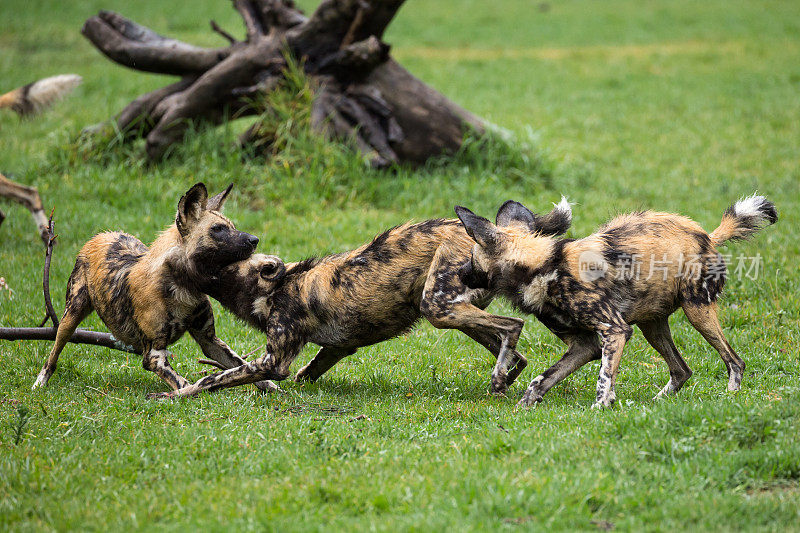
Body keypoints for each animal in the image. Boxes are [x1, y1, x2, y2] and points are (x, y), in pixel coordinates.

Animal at [32, 183, 278, 394]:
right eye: (217, 229)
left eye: (233, 227)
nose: (255, 240)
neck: (184, 288)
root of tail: (101, 235)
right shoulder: (154, 355)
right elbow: (185, 384)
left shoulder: (209, 340)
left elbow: (242, 365)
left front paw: (273, 387)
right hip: (70, 317)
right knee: (53, 354)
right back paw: (39, 384)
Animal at [142, 200, 568, 400]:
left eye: (220, 263)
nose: (169, 263)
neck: (276, 288)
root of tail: (491, 232)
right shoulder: (334, 349)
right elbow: (305, 373)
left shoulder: (274, 361)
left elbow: (211, 378)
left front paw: (174, 394)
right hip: (456, 310)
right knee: (515, 351)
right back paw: (504, 380)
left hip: (438, 307)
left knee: (513, 326)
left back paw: (500, 380)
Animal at [454, 195, 780, 408]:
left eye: (471, 257)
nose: (459, 272)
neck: (543, 265)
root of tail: (707, 236)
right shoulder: (583, 345)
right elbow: (542, 378)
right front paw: (525, 403)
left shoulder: (615, 330)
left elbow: (604, 377)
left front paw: (601, 408)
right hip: (653, 326)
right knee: (682, 370)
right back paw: (657, 403)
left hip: (697, 311)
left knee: (734, 361)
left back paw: (730, 397)